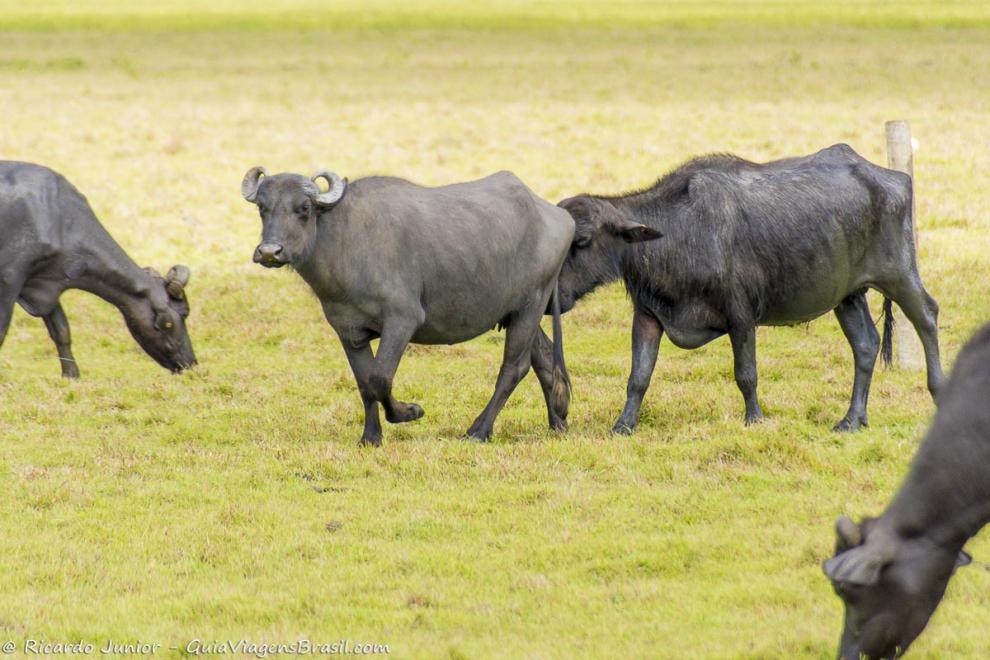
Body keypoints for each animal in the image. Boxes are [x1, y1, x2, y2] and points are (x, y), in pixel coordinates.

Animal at [0, 160, 198, 376]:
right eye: (174, 320)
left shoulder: (46, 282)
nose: (191, 364)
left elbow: (61, 330)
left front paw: (71, 375)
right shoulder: (9, 279)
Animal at [243, 165, 584, 446]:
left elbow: (380, 378)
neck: (346, 240)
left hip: (531, 305)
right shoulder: (349, 332)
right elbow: (364, 383)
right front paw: (371, 437)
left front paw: (410, 411)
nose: (270, 252)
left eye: (303, 207)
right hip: (517, 313)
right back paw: (558, 422)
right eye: (263, 208)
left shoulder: (402, 320)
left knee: (514, 367)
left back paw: (478, 431)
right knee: (544, 359)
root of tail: (558, 216)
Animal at [560, 143, 944, 434]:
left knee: (927, 316)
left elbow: (746, 374)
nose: (556, 294)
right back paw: (852, 420)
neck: (679, 233)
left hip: (900, 274)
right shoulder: (648, 315)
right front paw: (623, 425)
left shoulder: (741, 316)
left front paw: (754, 418)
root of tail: (894, 178)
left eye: (582, 240)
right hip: (848, 295)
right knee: (865, 346)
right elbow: (638, 375)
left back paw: (938, 391)